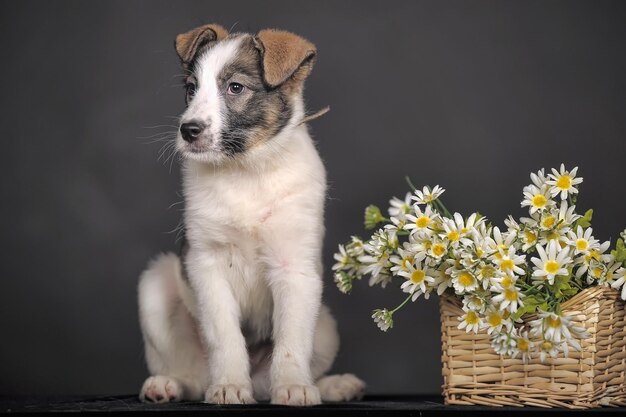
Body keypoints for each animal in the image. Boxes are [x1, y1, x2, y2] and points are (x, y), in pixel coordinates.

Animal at [134, 24, 364, 404]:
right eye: (191, 88)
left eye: (235, 87)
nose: (188, 130)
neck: (246, 171)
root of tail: (258, 382)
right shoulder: (206, 264)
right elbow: (225, 337)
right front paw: (229, 385)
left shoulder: (293, 267)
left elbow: (292, 342)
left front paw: (295, 387)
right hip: (156, 285)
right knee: (194, 376)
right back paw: (169, 384)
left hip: (326, 328)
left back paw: (333, 385)